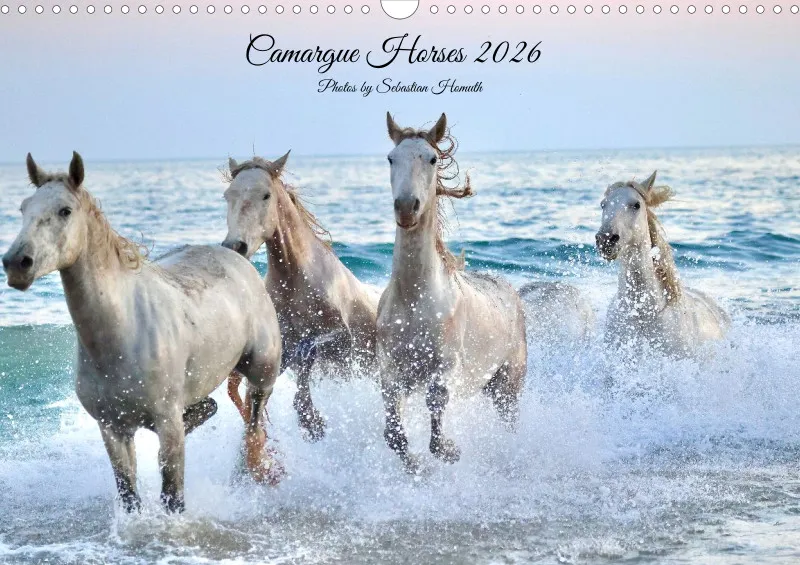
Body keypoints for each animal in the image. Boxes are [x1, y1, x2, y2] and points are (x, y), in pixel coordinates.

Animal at [2, 152, 283, 513]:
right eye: (24, 208)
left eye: (65, 210)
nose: (16, 263)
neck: (121, 334)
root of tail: (237, 256)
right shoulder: (113, 430)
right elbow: (129, 496)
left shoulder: (168, 425)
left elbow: (173, 497)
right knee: (213, 410)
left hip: (262, 375)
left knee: (253, 429)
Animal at [221, 152, 378, 442]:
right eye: (228, 195)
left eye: (266, 195)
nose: (235, 246)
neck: (297, 282)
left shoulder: (341, 342)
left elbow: (308, 352)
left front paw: (312, 421)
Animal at [378, 112, 528, 473]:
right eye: (391, 158)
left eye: (432, 158)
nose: (406, 207)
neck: (415, 300)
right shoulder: (390, 371)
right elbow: (394, 434)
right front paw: (415, 466)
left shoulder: (445, 366)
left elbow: (436, 407)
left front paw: (449, 451)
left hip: (508, 385)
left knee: (509, 423)